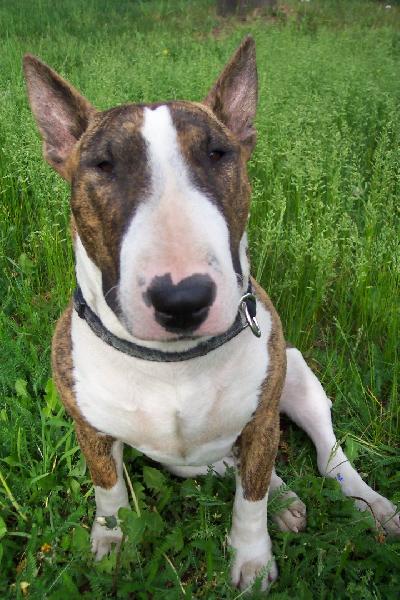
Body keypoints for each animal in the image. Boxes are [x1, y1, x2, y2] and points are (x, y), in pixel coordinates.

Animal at [23, 36, 399, 592]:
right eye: (103, 165)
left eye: (218, 153)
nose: (183, 299)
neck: (173, 363)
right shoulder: (91, 430)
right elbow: (109, 492)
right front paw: (111, 544)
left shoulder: (262, 418)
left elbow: (251, 497)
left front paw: (252, 559)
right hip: (188, 460)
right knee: (233, 465)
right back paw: (287, 501)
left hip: (297, 374)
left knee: (326, 452)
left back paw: (368, 505)